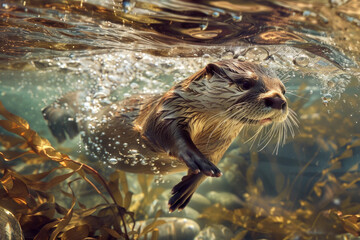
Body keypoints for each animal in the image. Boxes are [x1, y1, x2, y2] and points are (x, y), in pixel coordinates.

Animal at [42, 60, 296, 212]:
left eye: (283, 89)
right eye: (245, 83)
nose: (278, 100)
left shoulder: (221, 145)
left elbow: (207, 166)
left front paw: (186, 190)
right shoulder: (166, 110)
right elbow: (166, 134)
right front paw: (197, 159)